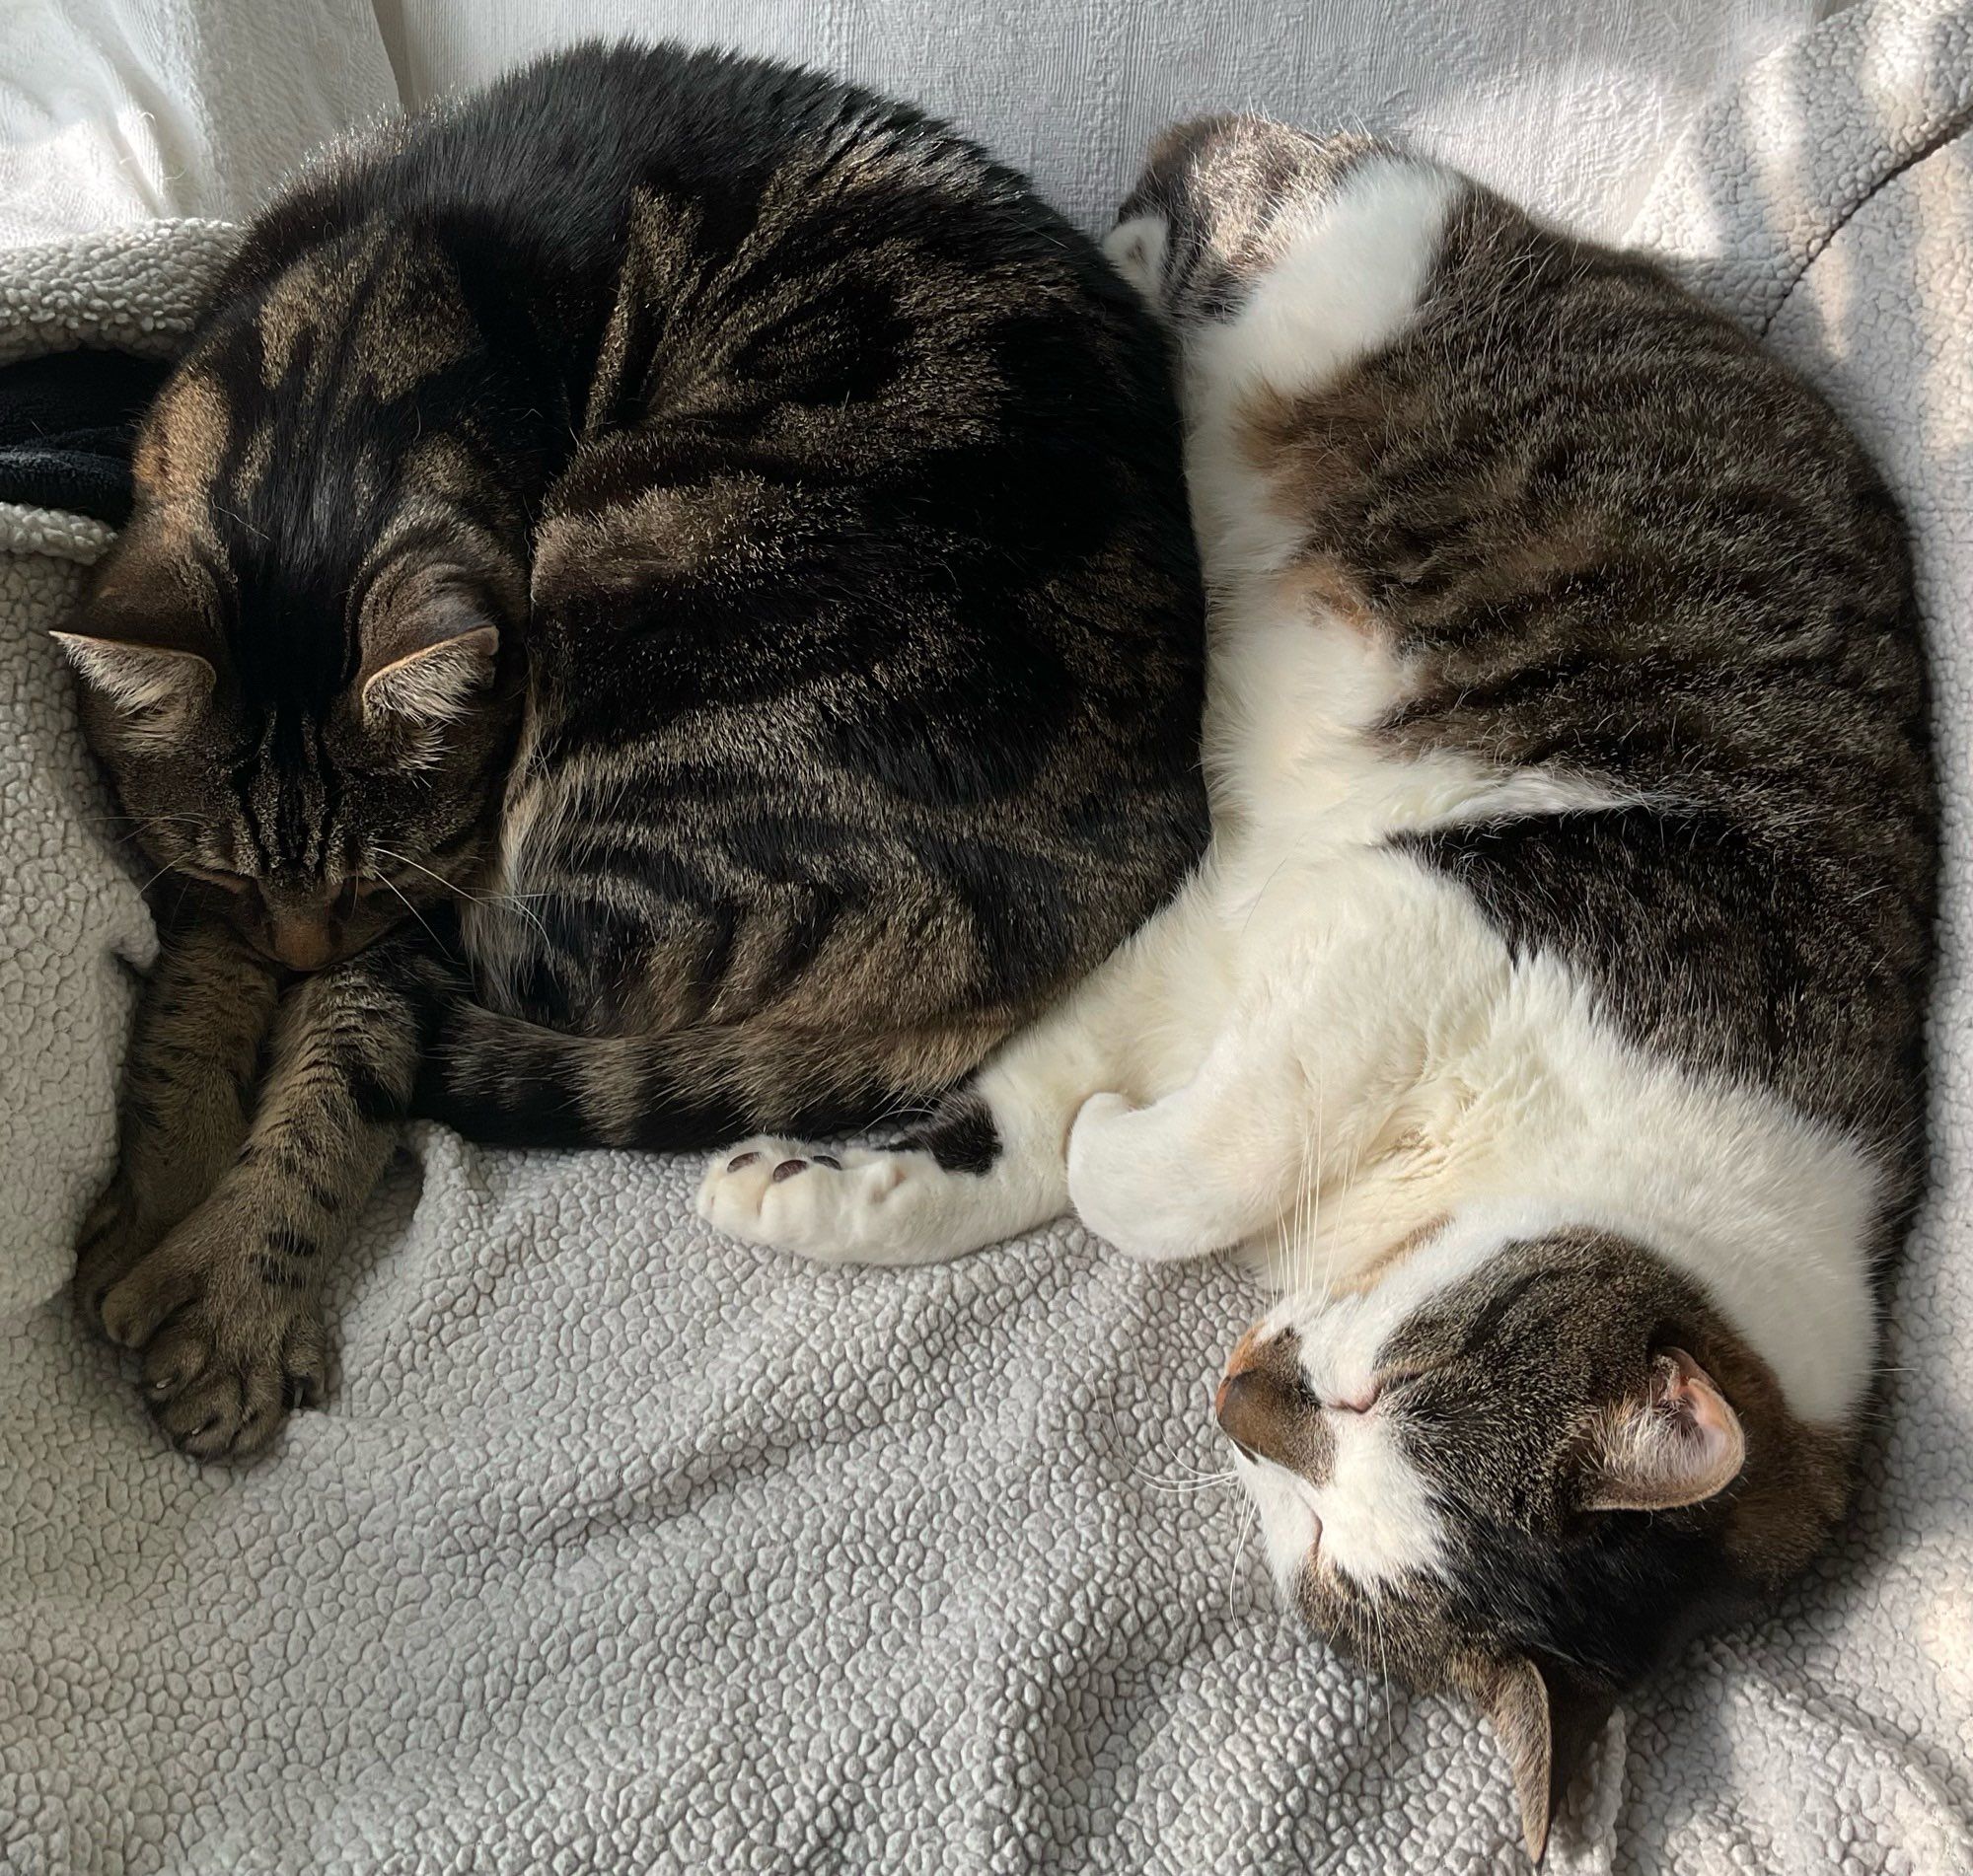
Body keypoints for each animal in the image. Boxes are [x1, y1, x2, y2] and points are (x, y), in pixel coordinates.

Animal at [57, 36, 1200, 1460]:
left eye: (374, 880)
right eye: (225, 870)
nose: (305, 948)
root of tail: (1141, 855)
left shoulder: (422, 899)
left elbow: (341, 1062)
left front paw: (233, 1290)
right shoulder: (219, 886)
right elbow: (193, 995)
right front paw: (159, 1197)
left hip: (630, 622)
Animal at [698, 120, 1941, 1862]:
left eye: (1305, 1527)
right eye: (1369, 1387)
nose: (1242, 1388)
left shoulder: (1238, 936)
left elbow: (1051, 1144)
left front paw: (847, 1181)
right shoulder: (1430, 909)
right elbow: (1173, 1170)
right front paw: (1095, 1141)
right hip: (1336, 286)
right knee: (1201, 209)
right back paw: (1132, 253)